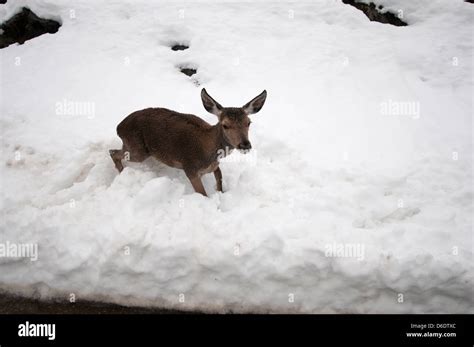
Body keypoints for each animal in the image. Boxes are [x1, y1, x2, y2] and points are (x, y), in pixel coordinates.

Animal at [109, 88, 268, 197]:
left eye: (248, 122)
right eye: (225, 125)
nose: (245, 145)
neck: (210, 152)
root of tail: (119, 127)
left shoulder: (213, 166)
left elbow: (220, 181)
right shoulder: (190, 167)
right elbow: (203, 194)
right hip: (137, 149)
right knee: (113, 152)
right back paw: (122, 174)